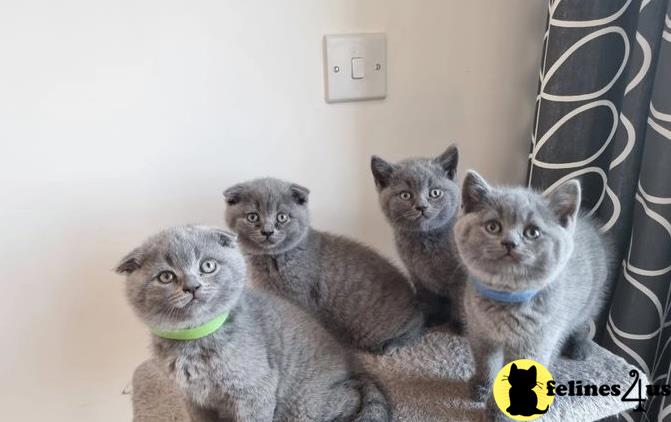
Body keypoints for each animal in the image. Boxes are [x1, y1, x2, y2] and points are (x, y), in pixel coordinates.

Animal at [118, 226, 392, 422]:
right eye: (166, 276)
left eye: (208, 265)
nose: (192, 287)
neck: (196, 339)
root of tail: (350, 366)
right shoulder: (193, 399)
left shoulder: (254, 392)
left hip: (302, 405)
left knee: (349, 397)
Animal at [226, 176, 426, 354]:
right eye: (252, 217)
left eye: (282, 217)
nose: (267, 231)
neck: (271, 261)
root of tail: (414, 301)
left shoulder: (299, 297)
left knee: (415, 328)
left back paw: (394, 345)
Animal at [372, 147, 468, 332]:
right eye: (405, 195)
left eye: (435, 193)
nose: (421, 207)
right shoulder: (417, 277)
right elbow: (428, 301)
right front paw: (430, 320)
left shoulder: (462, 277)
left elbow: (461, 303)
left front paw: (458, 327)